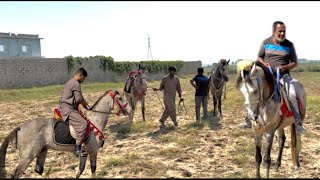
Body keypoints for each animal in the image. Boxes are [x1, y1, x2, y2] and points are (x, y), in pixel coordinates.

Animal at [0, 90, 131, 178]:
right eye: (120, 98)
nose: (130, 111)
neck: (95, 121)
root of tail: (20, 127)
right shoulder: (93, 151)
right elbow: (93, 169)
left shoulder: (84, 153)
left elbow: (80, 170)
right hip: (27, 157)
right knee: (16, 175)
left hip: (41, 153)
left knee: (37, 170)